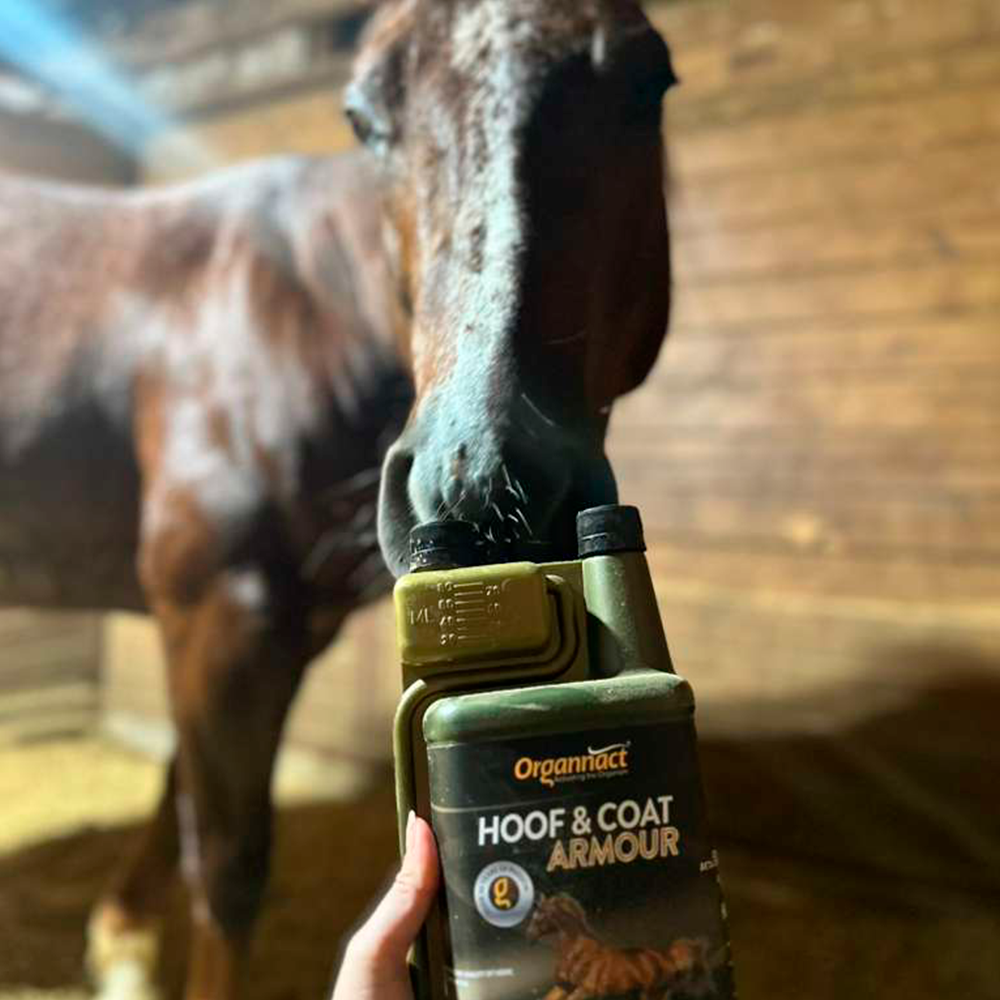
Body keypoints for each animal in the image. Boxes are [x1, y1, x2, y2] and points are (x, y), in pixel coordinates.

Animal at [0, 1, 677, 998]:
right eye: (364, 115)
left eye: (647, 78)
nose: (477, 484)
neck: (297, 311)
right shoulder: (222, 611)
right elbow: (230, 866)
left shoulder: (261, 627)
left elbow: (181, 792)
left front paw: (121, 939)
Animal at [526, 893, 711, 1000]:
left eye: (539, 917)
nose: (529, 936)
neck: (575, 951)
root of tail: (669, 958)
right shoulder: (562, 987)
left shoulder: (585, 991)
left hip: (652, 994)